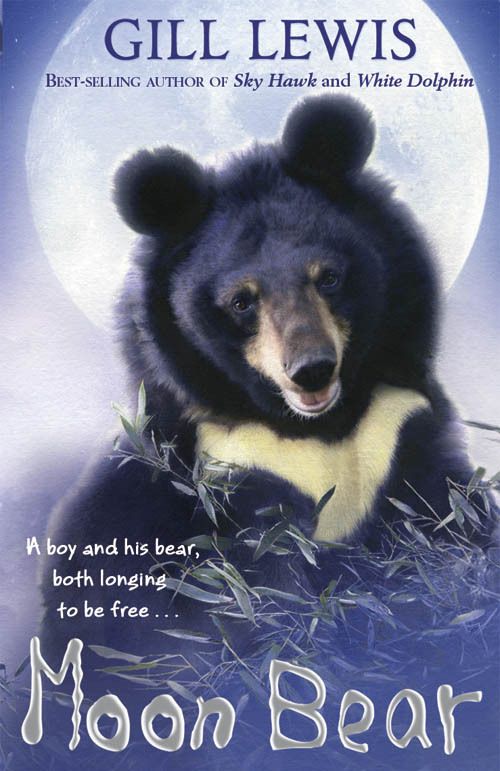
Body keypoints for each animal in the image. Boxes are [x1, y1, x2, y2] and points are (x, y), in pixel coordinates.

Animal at [39, 94, 493, 663]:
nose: (312, 369)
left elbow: (450, 513)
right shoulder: (230, 467)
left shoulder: (397, 420)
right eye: (242, 301)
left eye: (328, 277)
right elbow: (257, 585)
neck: (319, 427)